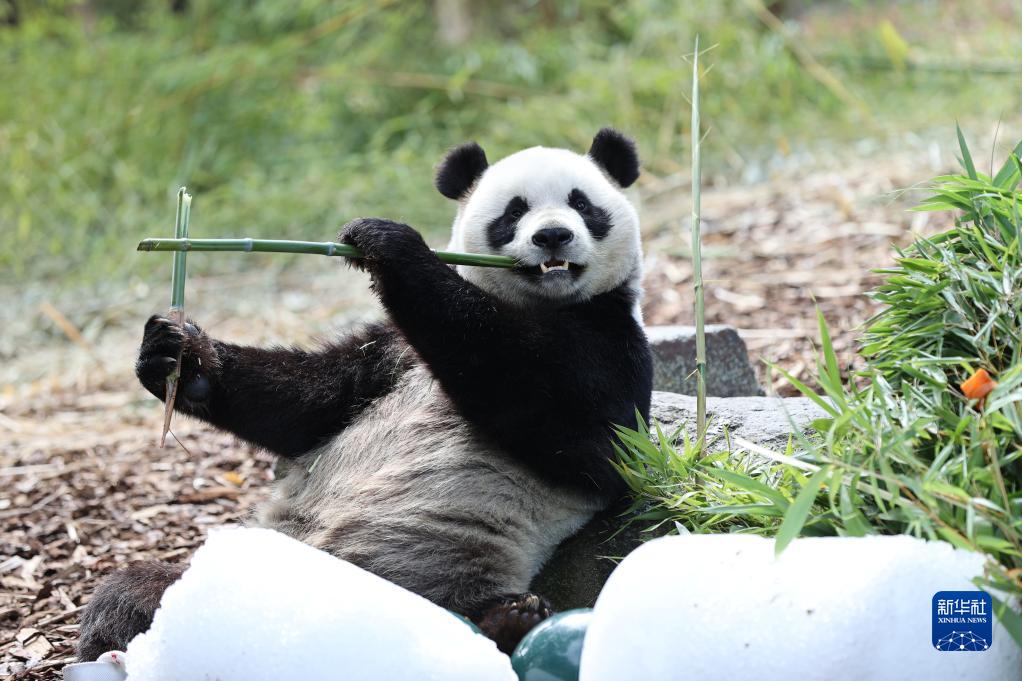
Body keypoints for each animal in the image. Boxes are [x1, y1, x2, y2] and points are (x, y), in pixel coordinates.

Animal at [79, 127, 654, 658]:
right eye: (514, 212)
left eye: (583, 204)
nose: (553, 236)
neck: (535, 304)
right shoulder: (388, 354)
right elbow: (302, 405)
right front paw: (175, 357)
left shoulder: (611, 339)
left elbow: (579, 433)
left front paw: (388, 244)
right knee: (131, 592)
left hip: (436, 570)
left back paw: (508, 617)